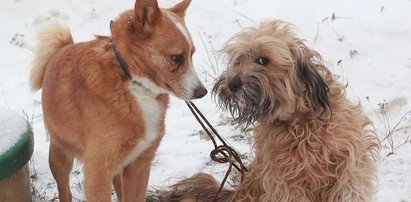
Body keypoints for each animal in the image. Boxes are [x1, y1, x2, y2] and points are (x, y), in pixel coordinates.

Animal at [29, 0, 208, 201]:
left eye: (192, 54)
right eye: (176, 57)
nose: (203, 92)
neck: (131, 80)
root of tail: (63, 47)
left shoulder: (140, 164)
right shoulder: (97, 172)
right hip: (60, 155)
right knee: (65, 190)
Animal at [164, 20, 380, 202]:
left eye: (263, 60)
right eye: (238, 60)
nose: (232, 84)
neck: (300, 123)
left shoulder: (350, 166)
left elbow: (350, 189)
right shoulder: (283, 180)